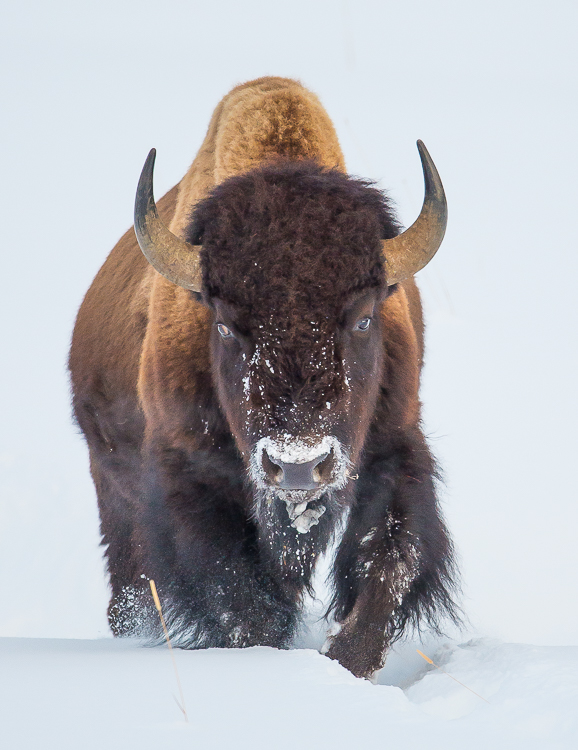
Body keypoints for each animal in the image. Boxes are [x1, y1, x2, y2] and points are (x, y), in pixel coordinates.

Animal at [71, 78, 460, 680]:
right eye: (225, 326)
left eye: (363, 317)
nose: (298, 466)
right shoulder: (189, 479)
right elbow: (239, 602)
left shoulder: (394, 448)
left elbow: (386, 568)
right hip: (113, 490)